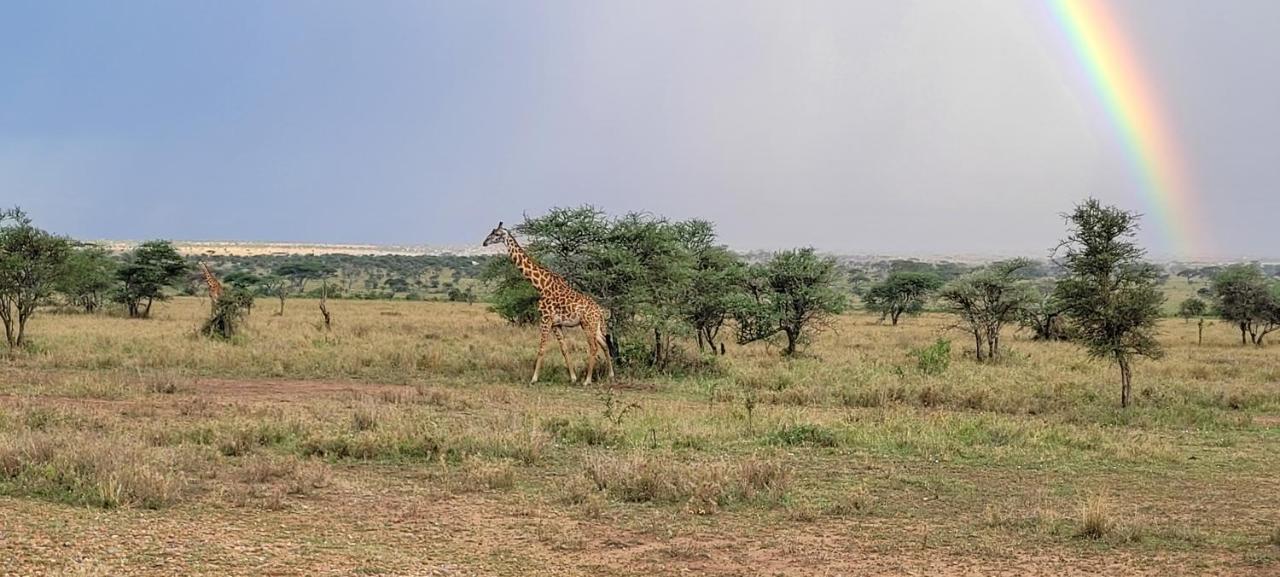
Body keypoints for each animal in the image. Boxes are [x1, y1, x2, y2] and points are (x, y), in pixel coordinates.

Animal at [483, 223, 614, 386]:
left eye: (496, 234)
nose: (484, 242)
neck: (541, 286)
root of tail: (600, 311)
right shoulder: (556, 324)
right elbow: (564, 349)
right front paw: (573, 378)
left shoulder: (545, 319)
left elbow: (541, 348)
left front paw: (533, 379)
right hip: (595, 326)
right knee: (605, 344)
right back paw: (610, 376)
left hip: (587, 324)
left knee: (594, 347)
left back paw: (587, 380)